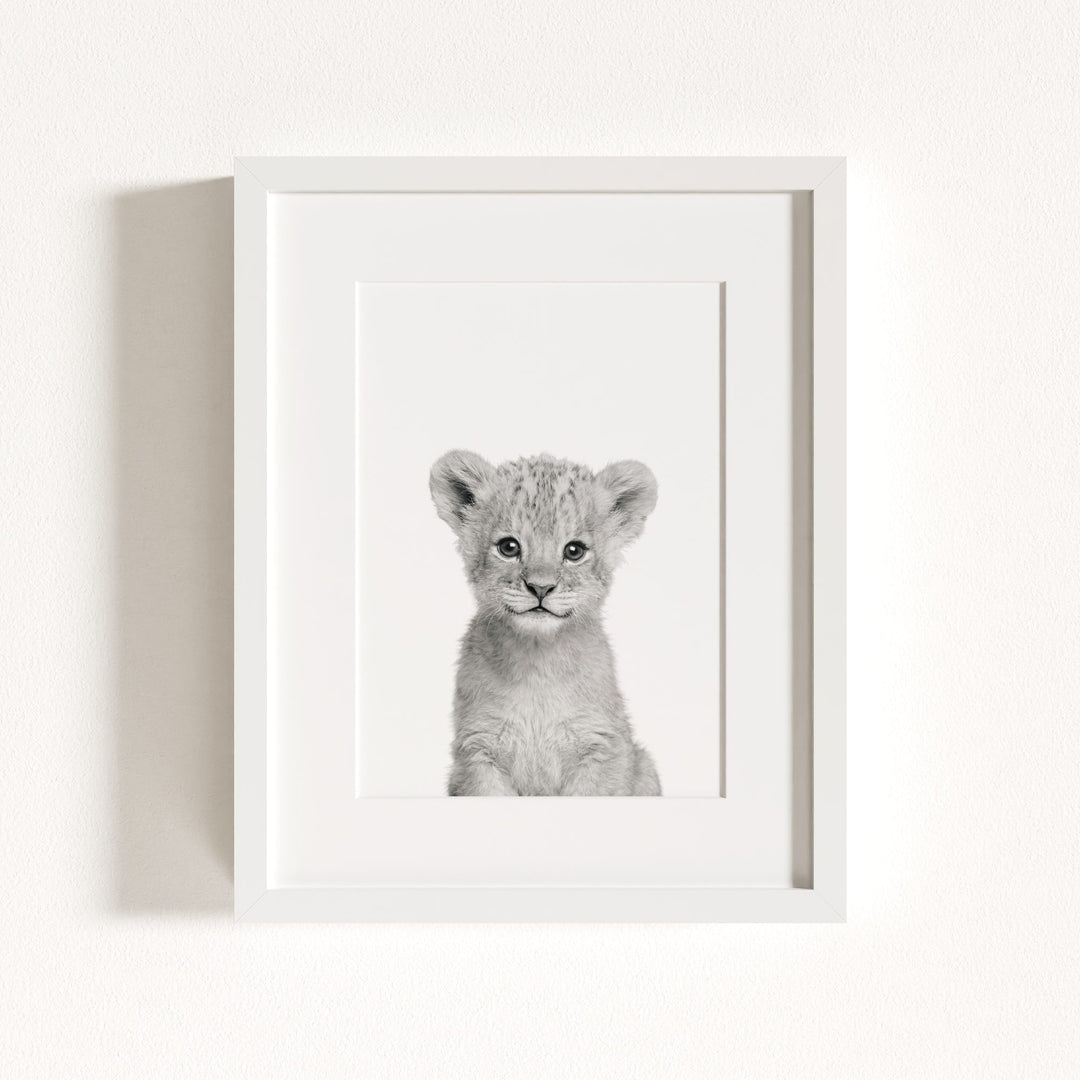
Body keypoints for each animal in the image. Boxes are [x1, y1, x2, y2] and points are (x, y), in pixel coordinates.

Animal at [429, 450, 661, 796]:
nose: (540, 588)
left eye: (574, 551)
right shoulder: (477, 750)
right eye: (509, 547)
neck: (537, 663)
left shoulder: (603, 747)